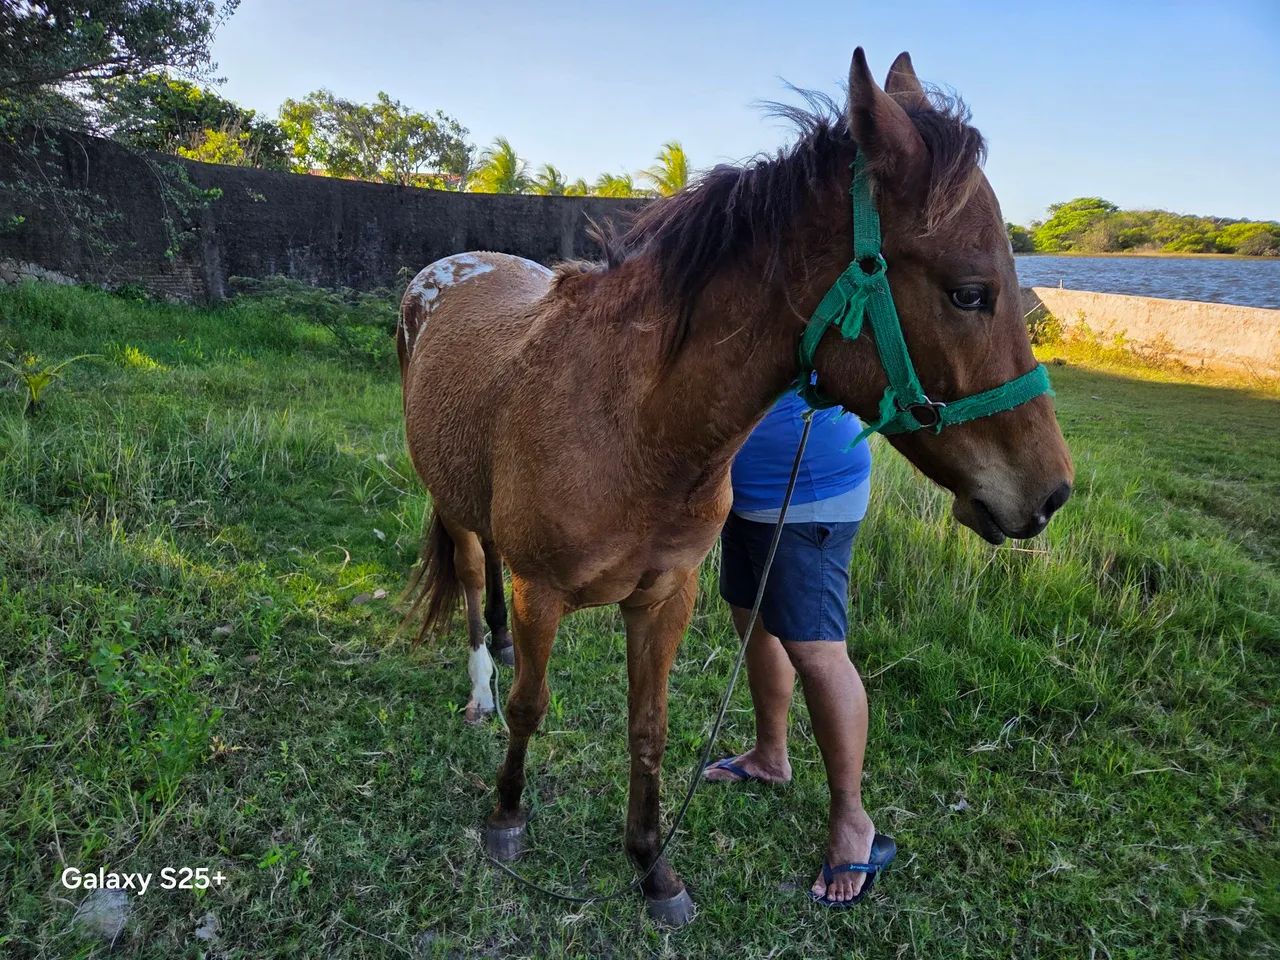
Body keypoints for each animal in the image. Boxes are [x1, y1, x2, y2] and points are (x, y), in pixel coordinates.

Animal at [397, 48, 1074, 925]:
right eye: (969, 292)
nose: (1050, 492)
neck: (632, 424)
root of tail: (447, 271)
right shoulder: (542, 591)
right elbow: (530, 707)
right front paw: (506, 819)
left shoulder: (665, 597)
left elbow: (648, 729)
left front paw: (652, 866)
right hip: (451, 506)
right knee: (477, 576)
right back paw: (481, 684)